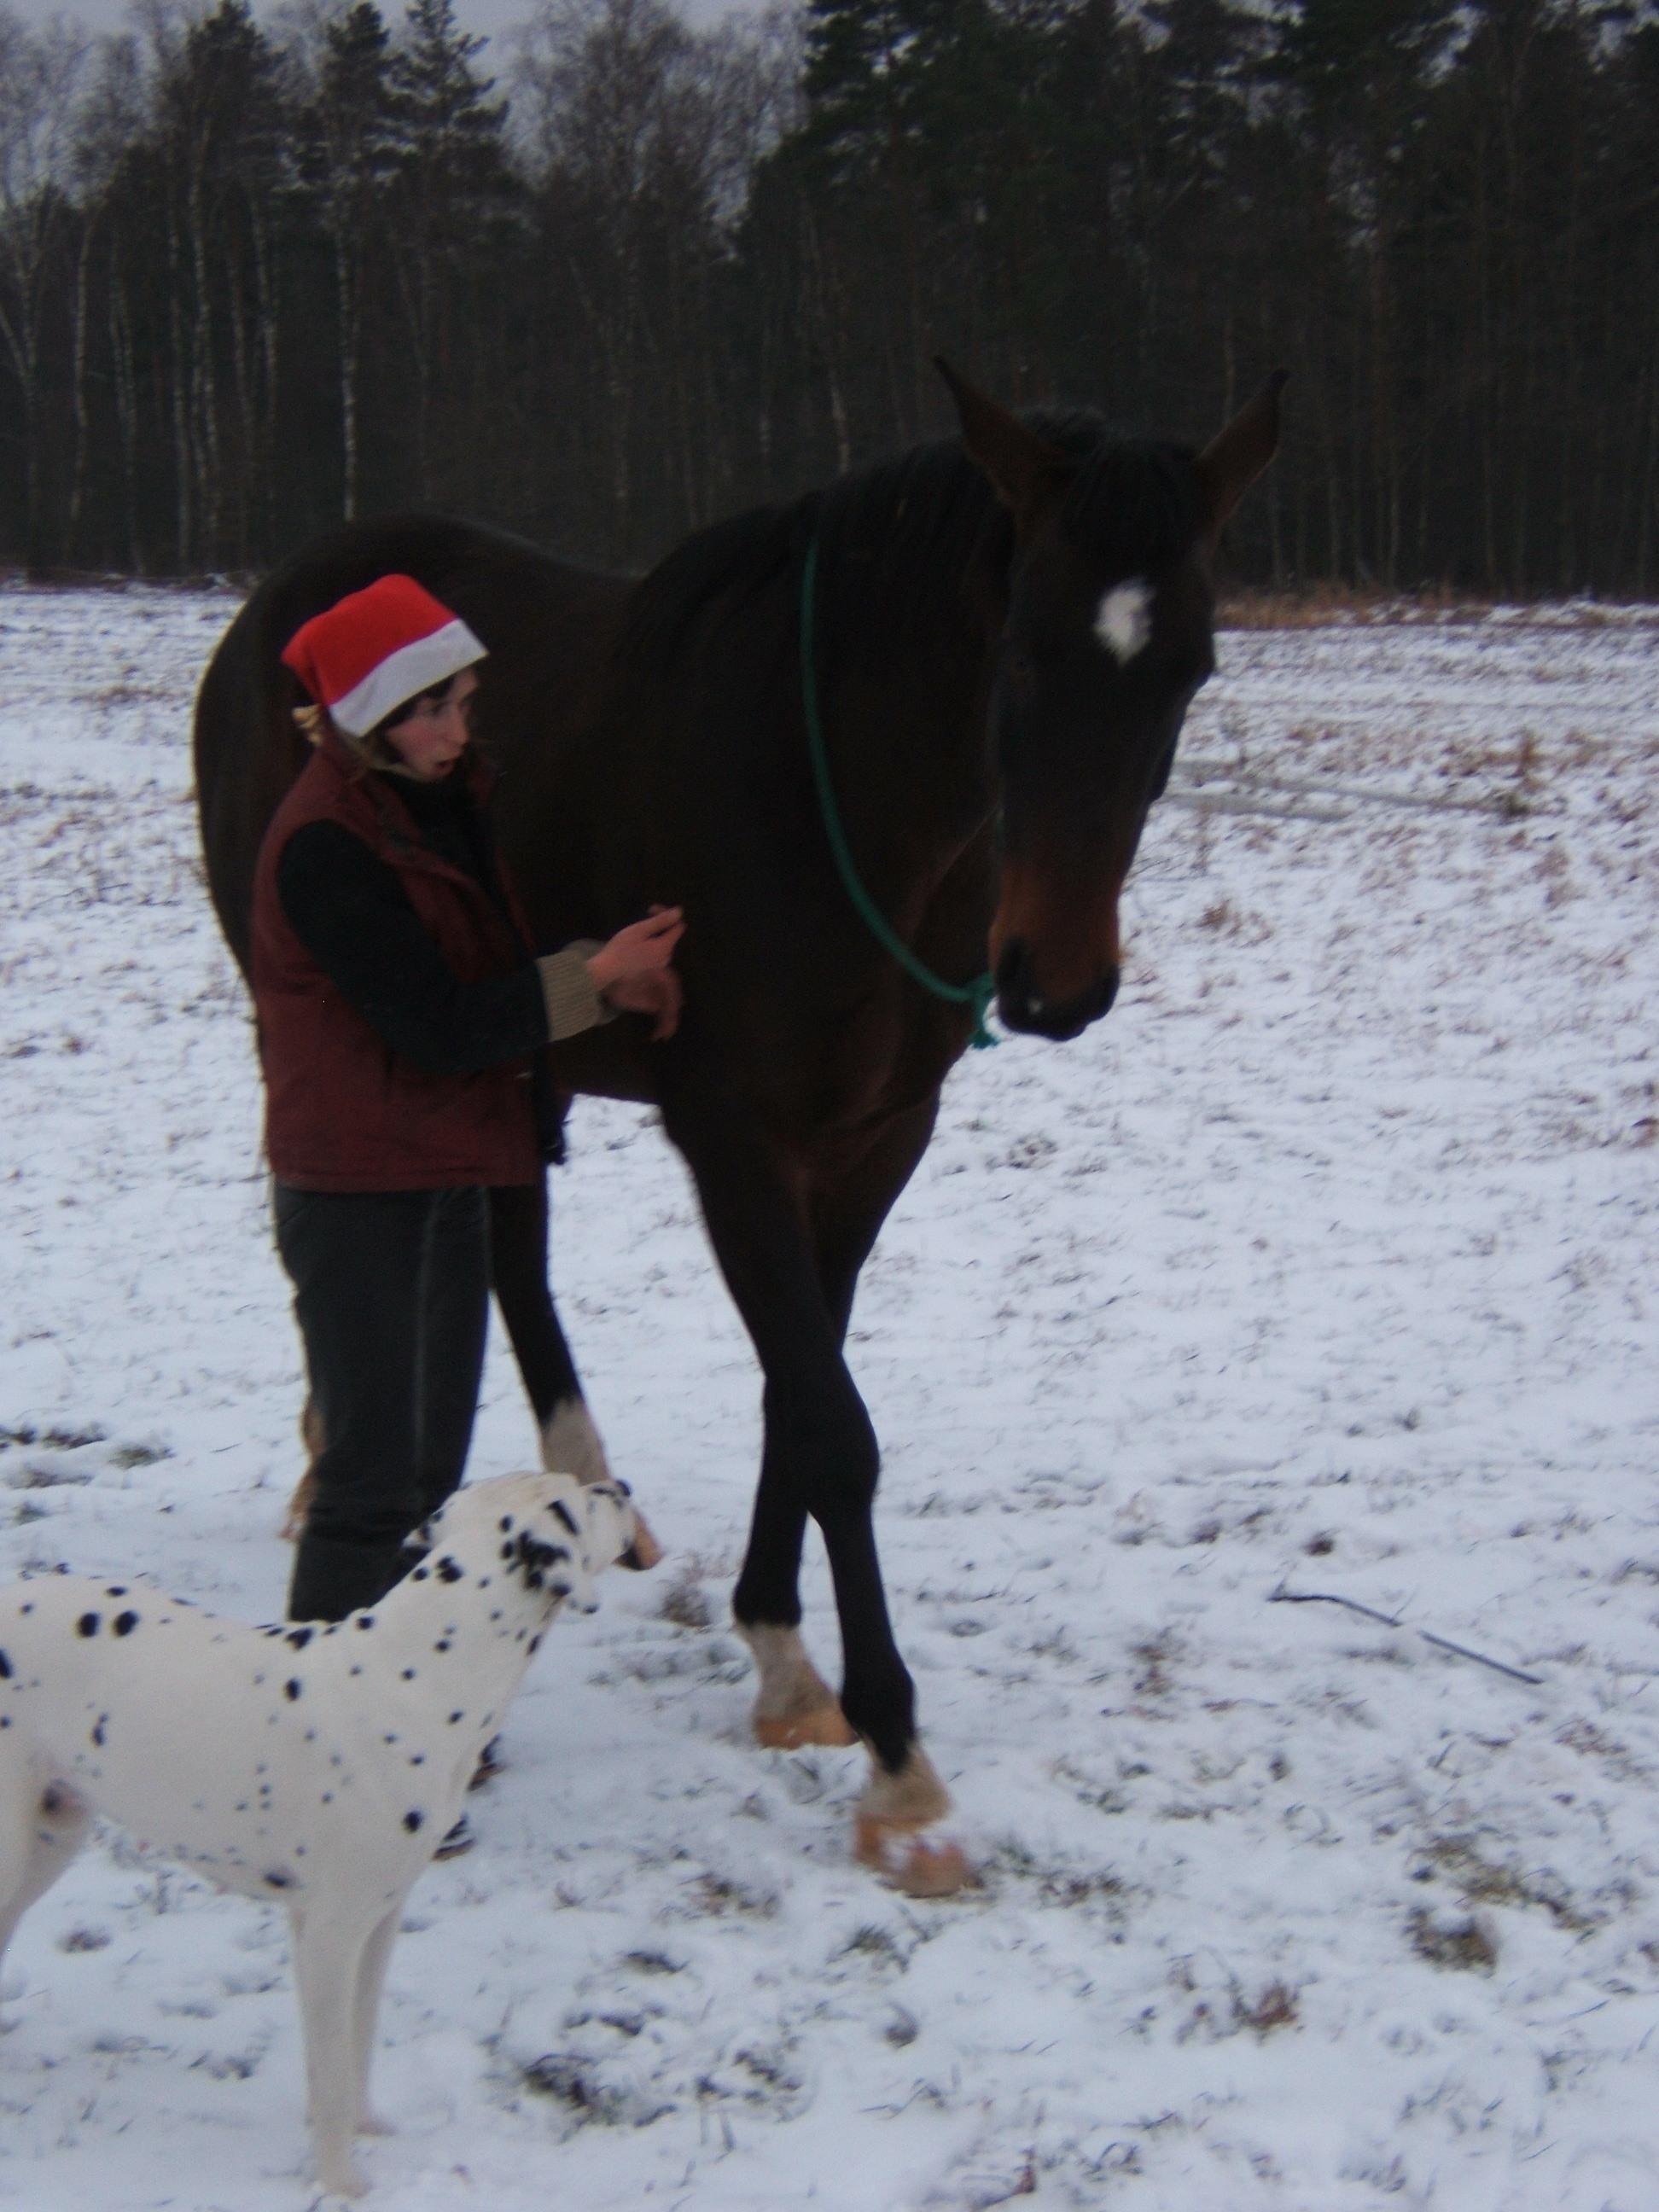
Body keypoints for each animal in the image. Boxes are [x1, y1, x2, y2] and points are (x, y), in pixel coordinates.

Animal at [0, 1471, 647, 2198]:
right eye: (577, 1499)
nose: (619, 1485)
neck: (417, 1680)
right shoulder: (329, 1934)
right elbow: (332, 2070)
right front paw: (343, 2185)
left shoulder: (379, 1920)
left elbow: (355, 2045)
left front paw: (366, 2131)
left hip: (48, 1843)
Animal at [194, 364, 1284, 1895]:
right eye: (1016, 653)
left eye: (1190, 668)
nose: (1056, 984)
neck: (831, 799)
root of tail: (281, 602)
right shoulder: (735, 1143)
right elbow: (835, 1422)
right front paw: (895, 1758)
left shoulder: (872, 1143)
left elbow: (798, 1387)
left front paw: (780, 1654)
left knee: (504, 1248)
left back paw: (582, 1487)